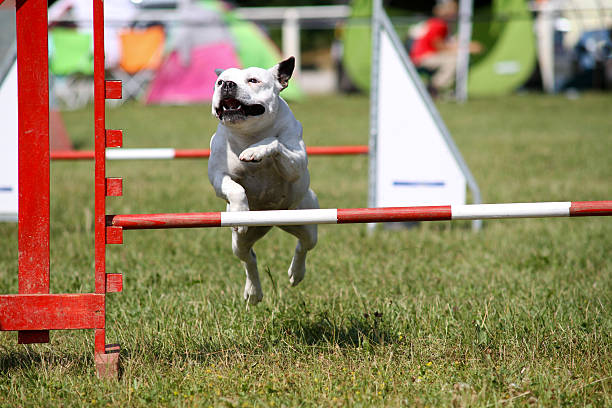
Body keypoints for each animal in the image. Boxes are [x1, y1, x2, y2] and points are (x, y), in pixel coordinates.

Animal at [208, 58, 320, 306]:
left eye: (253, 80)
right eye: (220, 82)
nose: (227, 84)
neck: (250, 133)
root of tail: (271, 221)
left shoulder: (296, 163)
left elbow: (274, 141)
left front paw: (256, 150)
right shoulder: (218, 176)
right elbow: (234, 187)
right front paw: (240, 210)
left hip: (307, 223)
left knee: (303, 245)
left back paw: (296, 273)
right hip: (239, 241)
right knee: (249, 258)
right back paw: (253, 291)